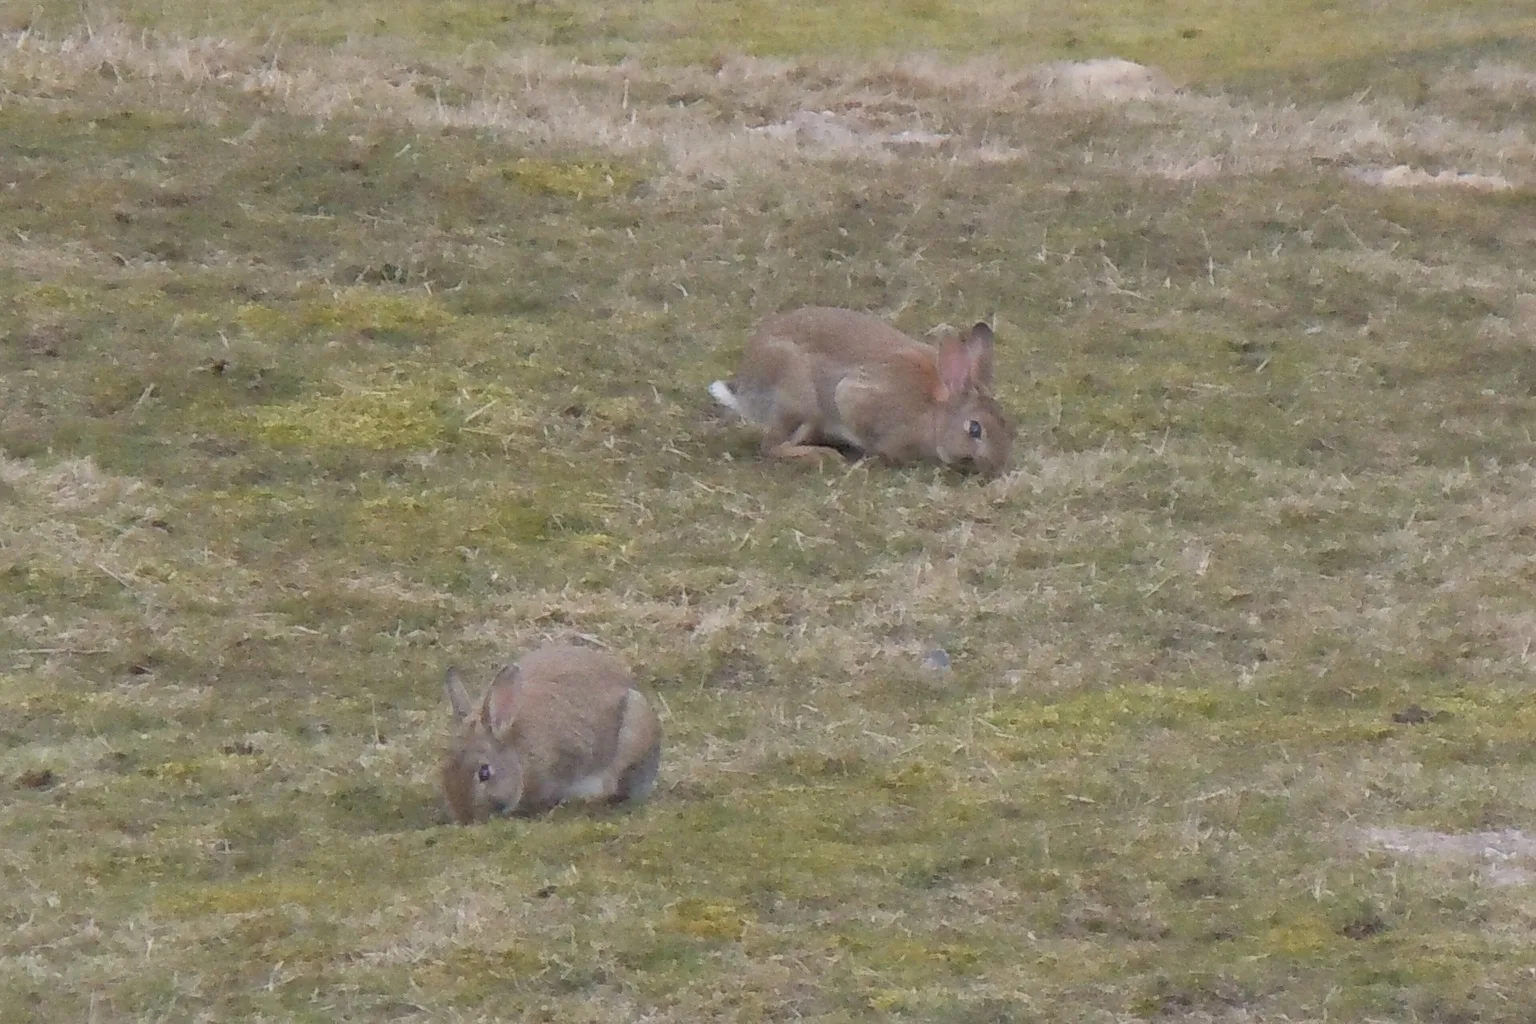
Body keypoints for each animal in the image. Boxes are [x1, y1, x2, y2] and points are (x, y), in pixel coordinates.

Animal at [709, 306, 1012, 477]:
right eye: (975, 429)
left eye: (1008, 426)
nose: (997, 467)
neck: (935, 412)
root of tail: (746, 387)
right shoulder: (855, 399)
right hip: (798, 401)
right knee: (771, 446)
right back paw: (822, 455)